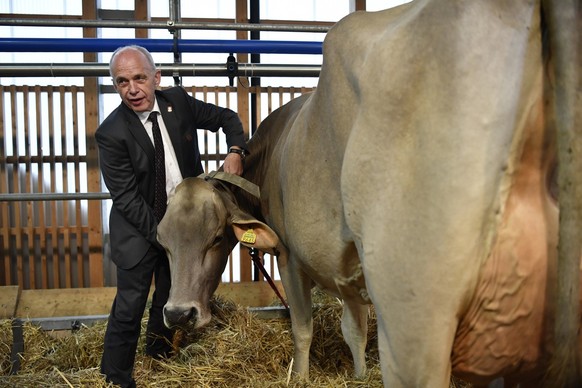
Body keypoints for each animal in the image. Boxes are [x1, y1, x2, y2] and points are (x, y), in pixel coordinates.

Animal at [157, 0, 580, 386]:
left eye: (216, 238)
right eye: (163, 242)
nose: (178, 314)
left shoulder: (290, 257)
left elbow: (303, 328)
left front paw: (301, 376)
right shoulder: (348, 269)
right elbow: (354, 330)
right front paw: (360, 374)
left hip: (414, 320)